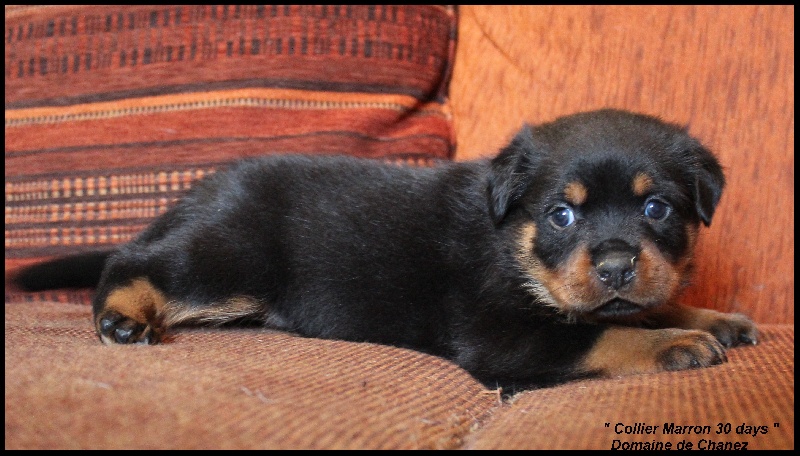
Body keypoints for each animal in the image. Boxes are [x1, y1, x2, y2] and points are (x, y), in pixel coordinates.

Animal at [14, 109, 757, 390]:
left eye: (657, 209)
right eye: (562, 215)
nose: (616, 264)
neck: (510, 243)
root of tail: (202, 190)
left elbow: (636, 307)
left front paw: (709, 317)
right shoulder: (501, 339)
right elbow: (603, 334)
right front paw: (675, 343)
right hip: (230, 257)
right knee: (132, 263)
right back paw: (122, 315)